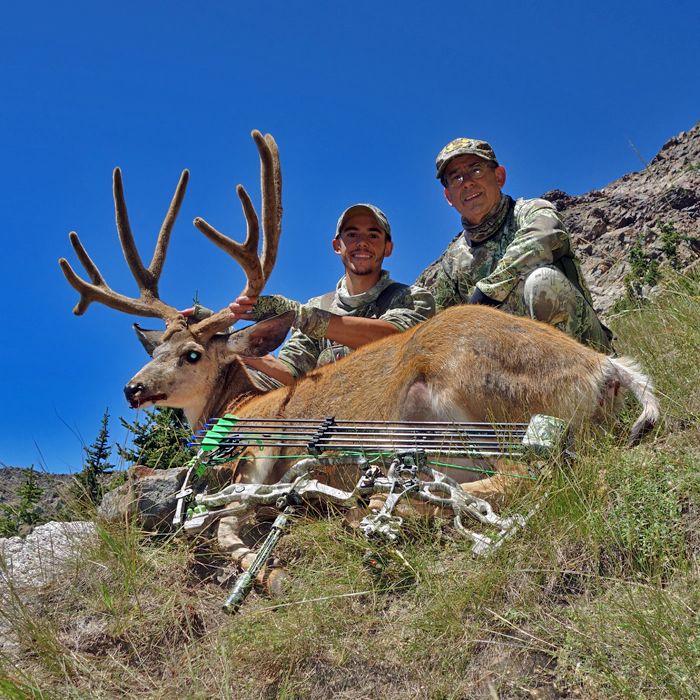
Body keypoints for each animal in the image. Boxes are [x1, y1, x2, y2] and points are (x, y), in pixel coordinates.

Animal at [59, 130, 660, 592]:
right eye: (154, 350)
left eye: (190, 354)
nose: (133, 389)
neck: (240, 402)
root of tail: (605, 369)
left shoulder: (263, 447)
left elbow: (221, 525)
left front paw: (269, 571)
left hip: (481, 399)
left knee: (531, 475)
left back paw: (373, 511)